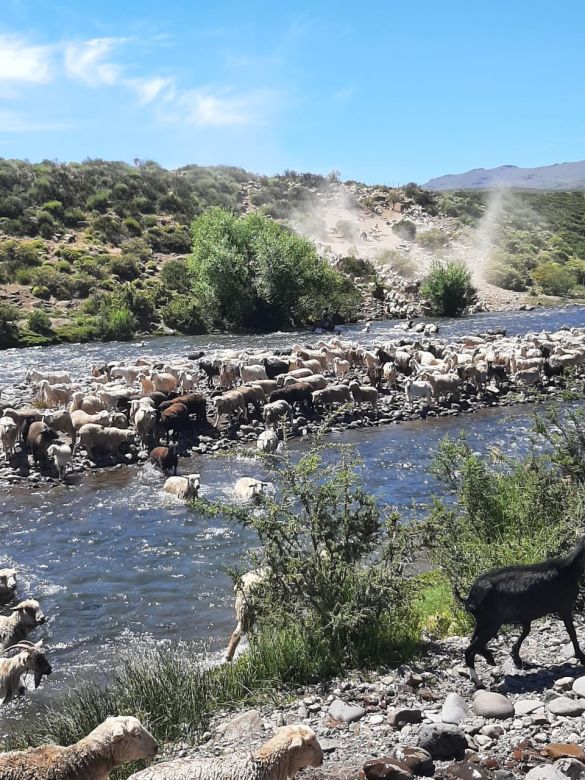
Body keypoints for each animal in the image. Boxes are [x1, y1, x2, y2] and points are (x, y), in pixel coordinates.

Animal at [458, 536, 585, 688]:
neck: (569, 569)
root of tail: (471, 596)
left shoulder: (526, 617)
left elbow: (525, 631)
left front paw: (518, 659)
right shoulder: (564, 607)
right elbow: (572, 632)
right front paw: (582, 656)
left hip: (483, 621)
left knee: (473, 641)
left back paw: (489, 658)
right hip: (492, 622)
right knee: (470, 650)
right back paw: (478, 681)